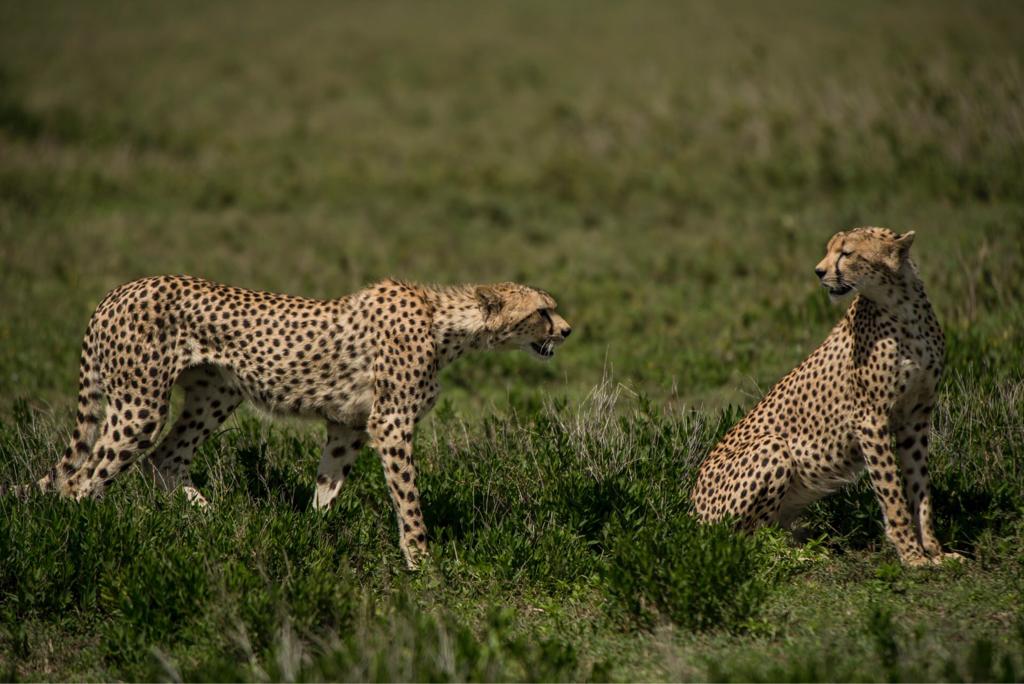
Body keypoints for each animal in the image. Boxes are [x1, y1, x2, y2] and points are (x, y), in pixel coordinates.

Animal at [28, 274, 569, 569]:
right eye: (543, 311)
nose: (567, 330)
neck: (447, 325)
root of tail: (119, 290)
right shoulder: (391, 424)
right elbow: (409, 500)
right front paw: (422, 561)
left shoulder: (348, 426)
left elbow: (329, 486)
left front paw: (312, 537)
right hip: (139, 405)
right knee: (80, 482)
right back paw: (87, 541)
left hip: (217, 392)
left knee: (164, 457)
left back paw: (213, 519)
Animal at [692, 229, 962, 565]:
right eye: (830, 250)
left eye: (846, 253)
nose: (819, 272)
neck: (902, 306)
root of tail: (693, 510)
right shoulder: (870, 420)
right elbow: (892, 494)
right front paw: (912, 555)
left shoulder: (915, 418)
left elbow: (919, 488)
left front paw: (936, 551)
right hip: (773, 447)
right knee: (750, 540)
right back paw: (799, 555)